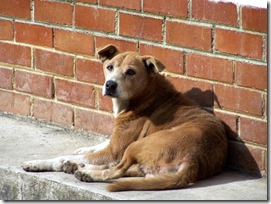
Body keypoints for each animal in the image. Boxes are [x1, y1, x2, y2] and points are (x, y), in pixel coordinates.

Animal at [23, 44, 228, 191]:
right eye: (109, 67)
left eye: (131, 72)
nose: (110, 84)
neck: (146, 95)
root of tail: (194, 160)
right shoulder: (115, 143)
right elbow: (102, 143)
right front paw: (81, 152)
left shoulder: (115, 150)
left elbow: (61, 158)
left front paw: (39, 163)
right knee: (131, 170)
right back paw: (79, 166)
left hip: (137, 145)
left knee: (116, 170)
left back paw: (86, 172)